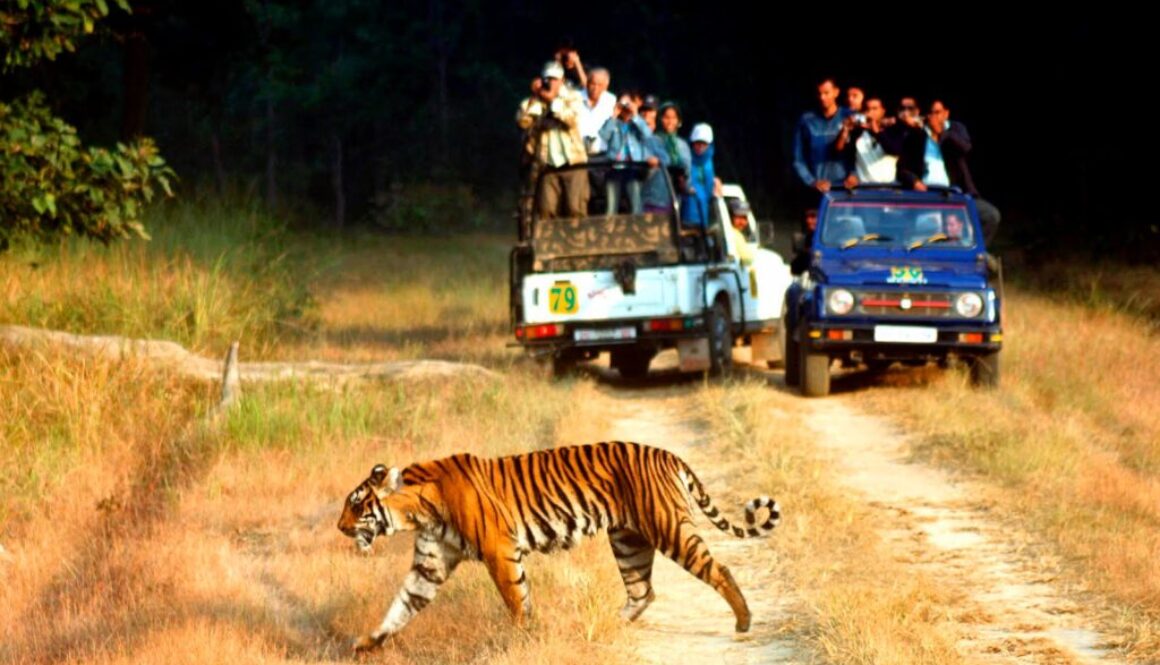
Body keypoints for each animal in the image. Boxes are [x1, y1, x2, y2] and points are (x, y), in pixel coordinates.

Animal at [337, 440, 780, 652]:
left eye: (356, 504)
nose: (339, 527)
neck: (418, 510)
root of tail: (669, 456)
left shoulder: (499, 551)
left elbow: (517, 600)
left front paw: (524, 638)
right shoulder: (430, 565)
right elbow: (401, 606)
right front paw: (367, 644)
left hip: (669, 529)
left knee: (718, 569)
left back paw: (743, 622)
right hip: (628, 541)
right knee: (643, 590)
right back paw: (604, 626)